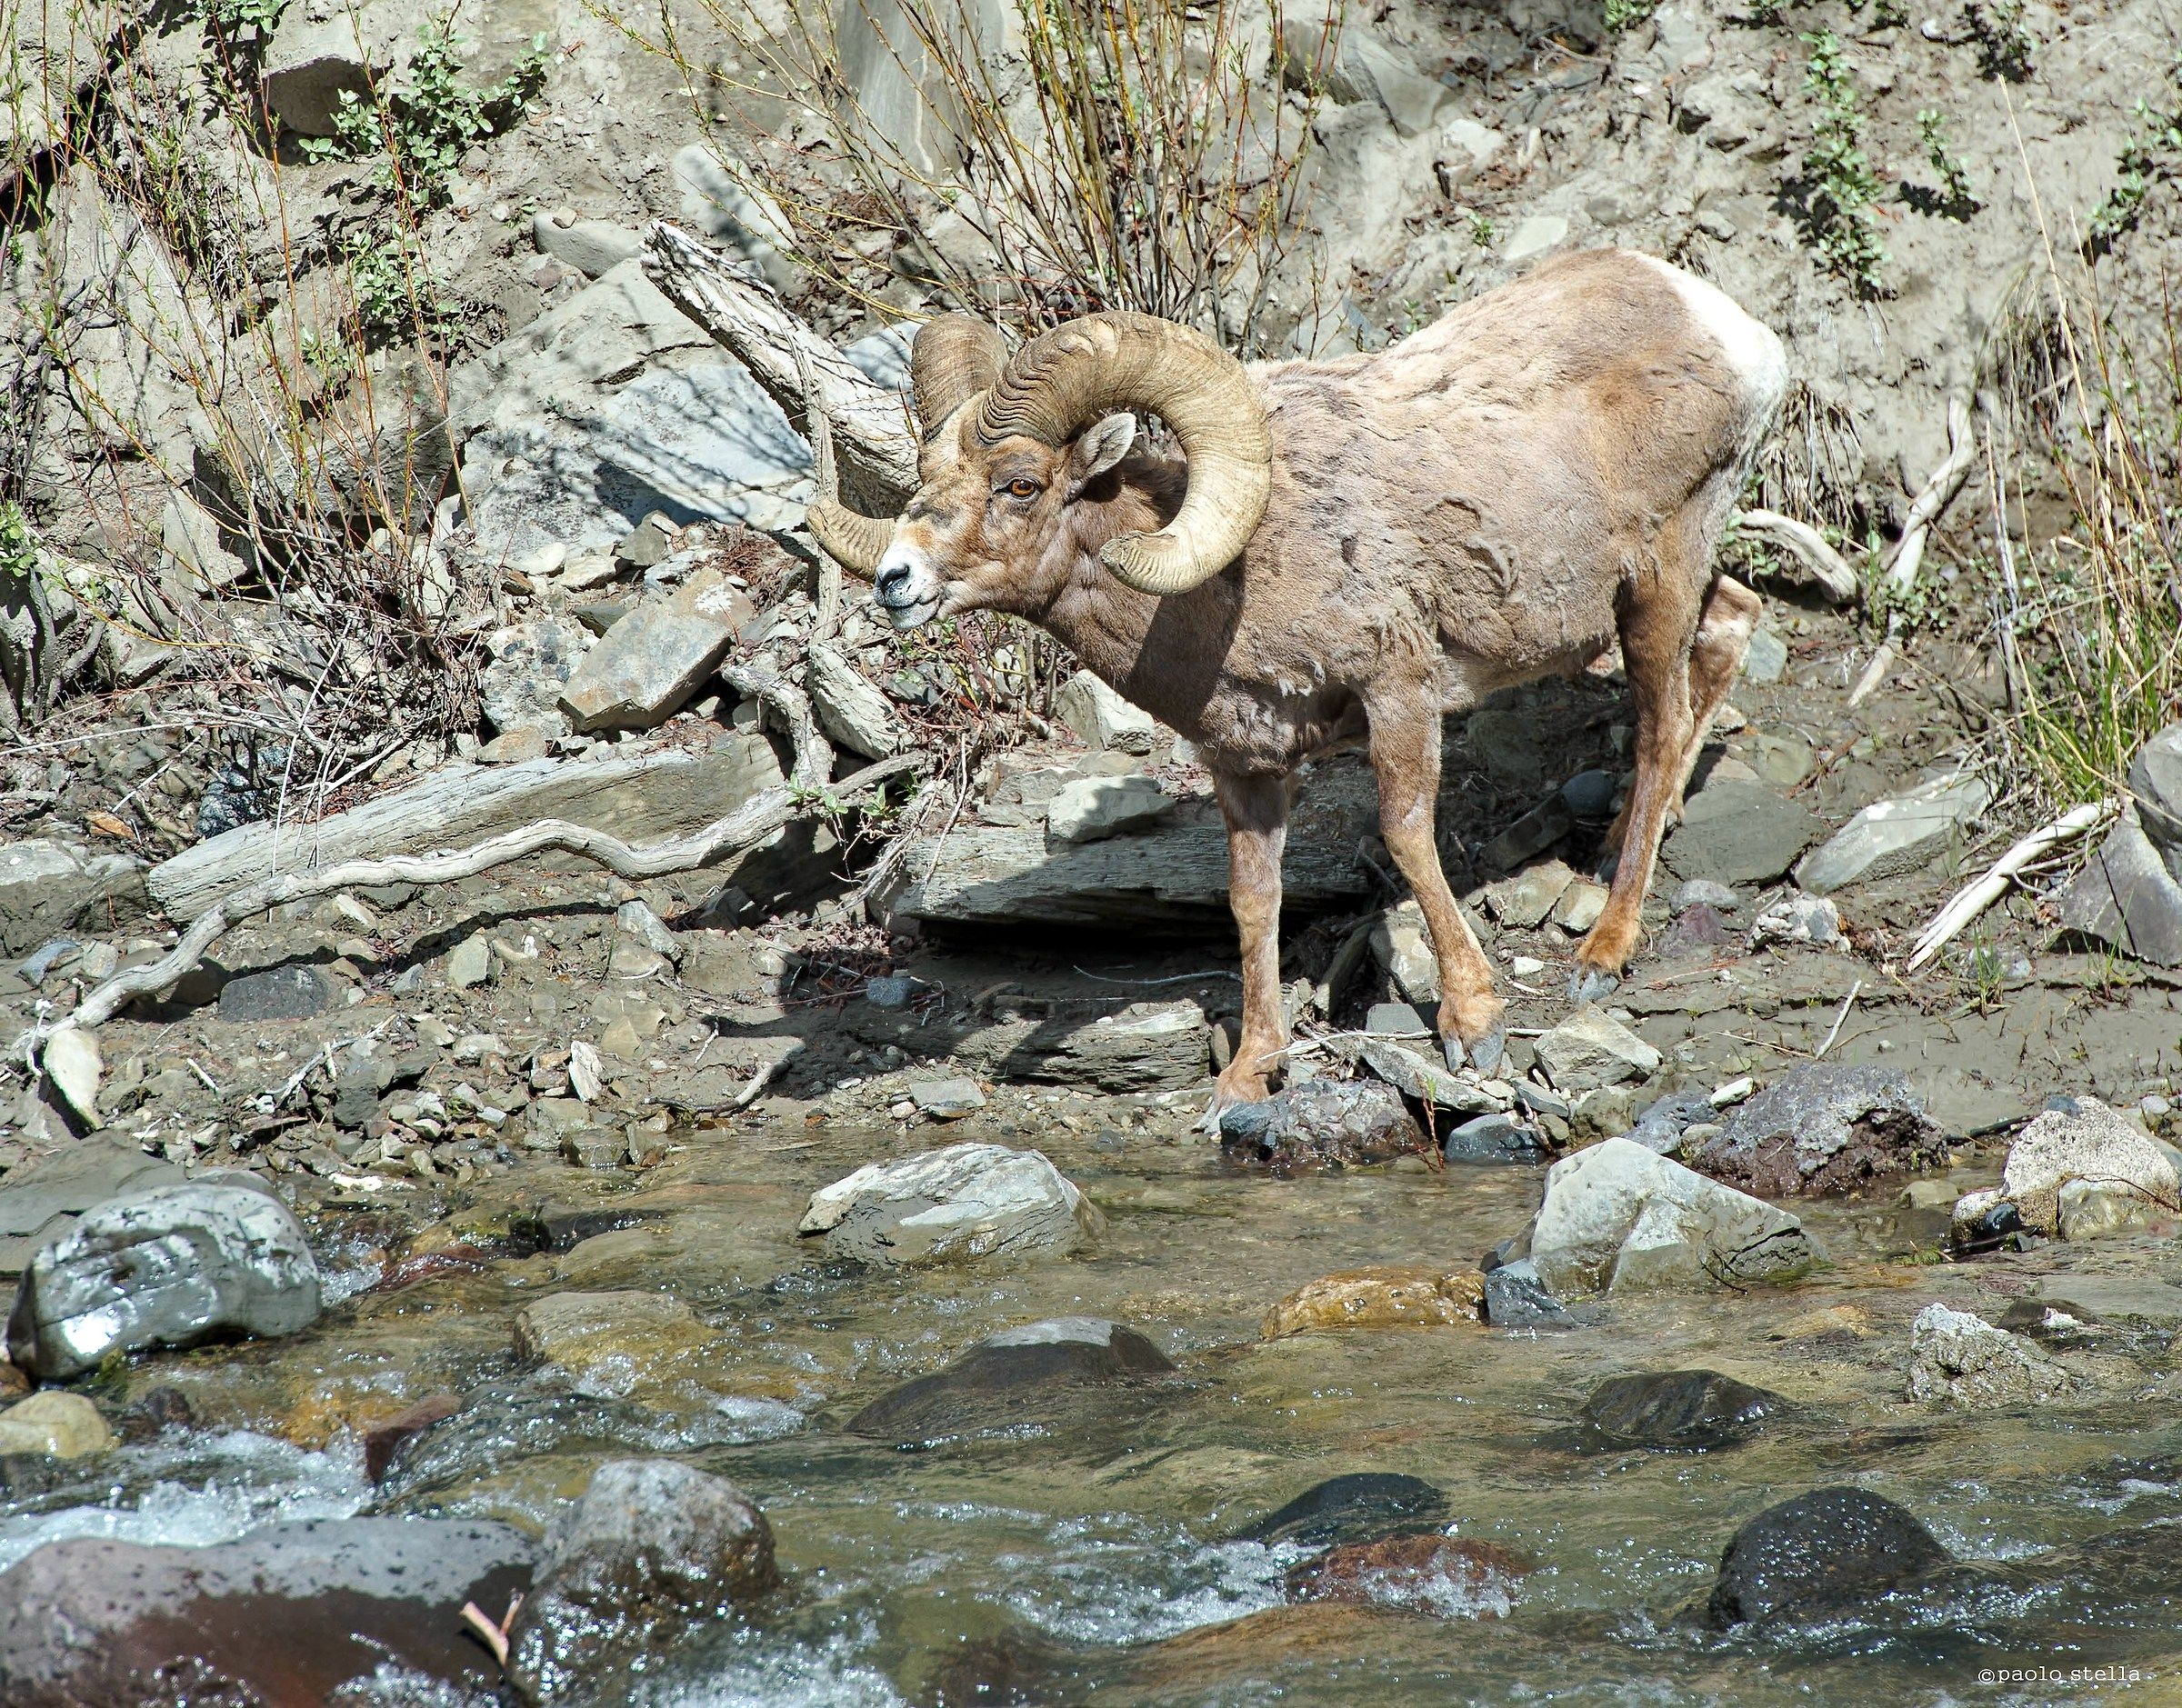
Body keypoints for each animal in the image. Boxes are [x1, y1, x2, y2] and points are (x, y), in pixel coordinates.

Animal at [807, 249, 1788, 1116]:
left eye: (1020, 484)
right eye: (925, 476)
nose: (895, 579)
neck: (1228, 591)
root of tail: (1729, 329)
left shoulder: (1399, 692)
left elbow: (1406, 836)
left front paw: (1472, 1021)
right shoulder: (1246, 766)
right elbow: (1253, 901)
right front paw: (1250, 1073)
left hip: (1658, 583)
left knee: (1661, 726)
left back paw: (1605, 950)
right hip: (1665, 590)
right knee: (1732, 625)